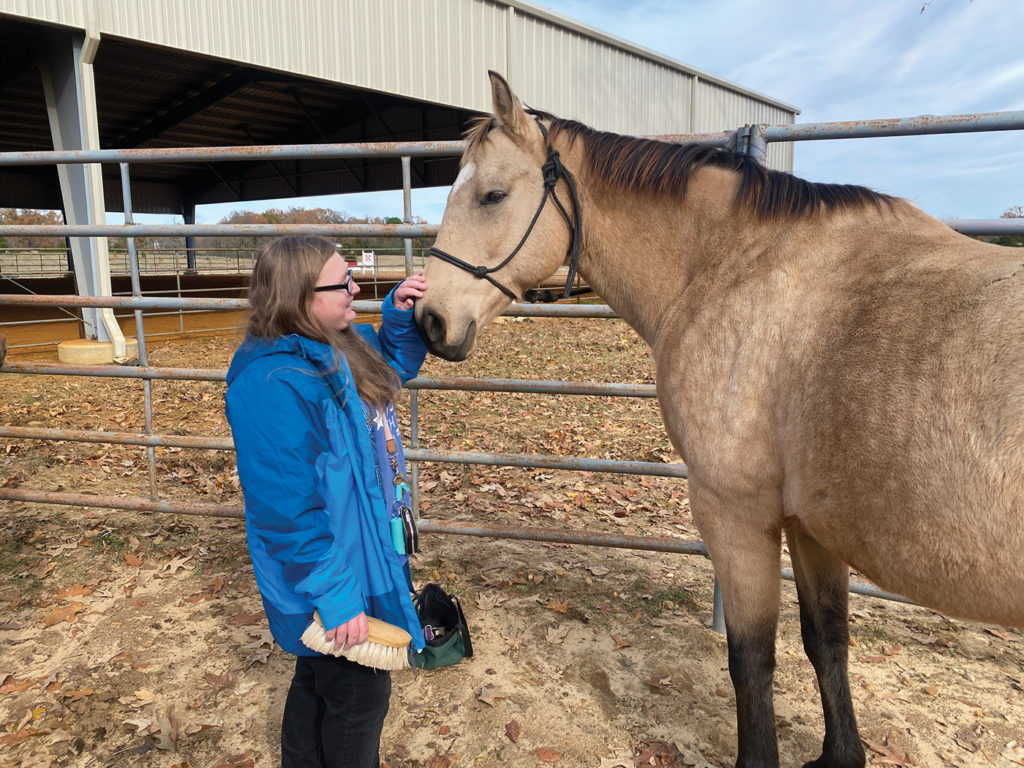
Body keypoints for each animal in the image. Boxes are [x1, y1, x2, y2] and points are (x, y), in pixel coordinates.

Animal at [413, 69, 1024, 765]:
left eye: (492, 195)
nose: (429, 320)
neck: (735, 267)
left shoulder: (736, 516)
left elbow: (751, 661)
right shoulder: (810, 526)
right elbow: (826, 641)